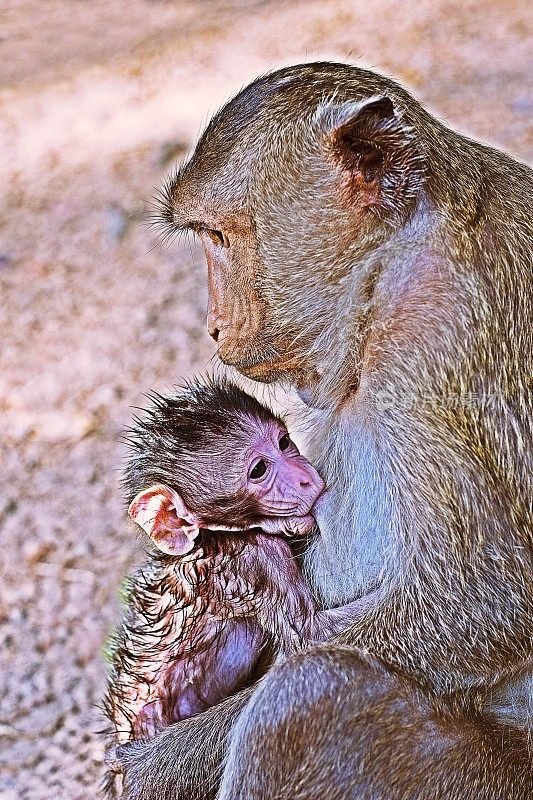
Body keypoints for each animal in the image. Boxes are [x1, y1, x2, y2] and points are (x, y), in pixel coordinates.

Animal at [104, 378, 362, 748]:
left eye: (283, 443)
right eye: (259, 470)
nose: (306, 477)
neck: (210, 538)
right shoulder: (255, 557)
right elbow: (309, 634)